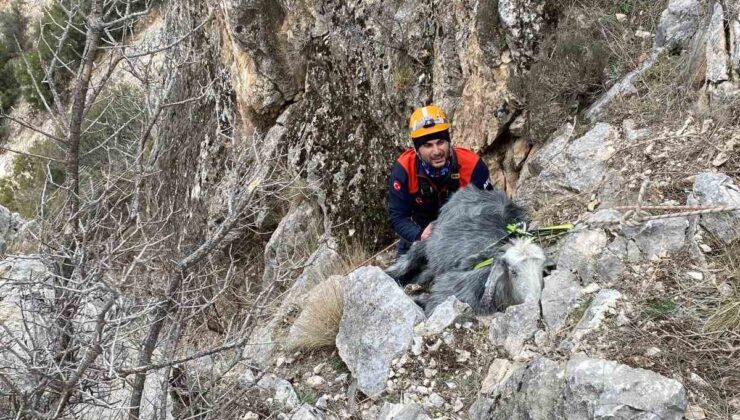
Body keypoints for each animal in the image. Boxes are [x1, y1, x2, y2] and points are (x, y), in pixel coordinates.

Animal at [388, 188, 548, 316]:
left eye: (541, 270)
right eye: (513, 271)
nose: (533, 302)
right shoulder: (449, 290)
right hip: (429, 240)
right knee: (410, 258)